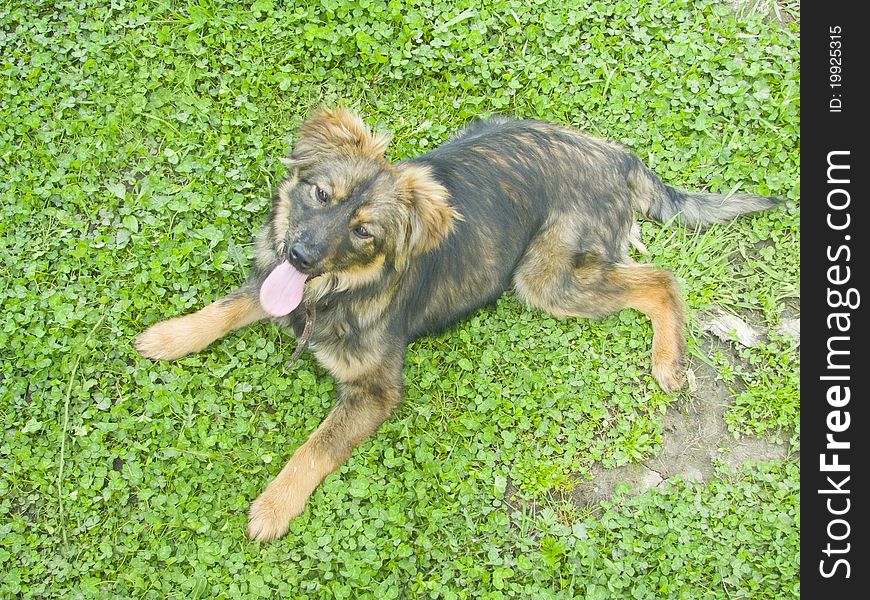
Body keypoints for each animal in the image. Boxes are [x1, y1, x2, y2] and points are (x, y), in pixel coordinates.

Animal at [136, 105, 784, 540]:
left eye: (363, 231)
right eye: (320, 194)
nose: (298, 255)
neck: (333, 294)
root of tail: (618, 156)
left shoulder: (375, 391)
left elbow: (315, 448)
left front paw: (273, 507)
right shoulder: (275, 288)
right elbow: (227, 306)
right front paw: (169, 335)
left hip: (545, 279)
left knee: (662, 278)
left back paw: (670, 361)